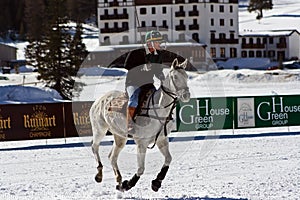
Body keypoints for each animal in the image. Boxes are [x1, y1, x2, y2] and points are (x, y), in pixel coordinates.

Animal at [90, 58, 191, 192]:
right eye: (175, 77)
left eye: (186, 76)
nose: (186, 95)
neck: (158, 109)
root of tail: (98, 100)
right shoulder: (141, 143)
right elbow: (141, 169)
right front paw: (128, 184)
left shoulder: (161, 139)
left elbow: (168, 159)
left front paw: (156, 182)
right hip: (99, 129)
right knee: (94, 146)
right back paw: (100, 174)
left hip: (119, 136)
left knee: (112, 157)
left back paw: (119, 181)